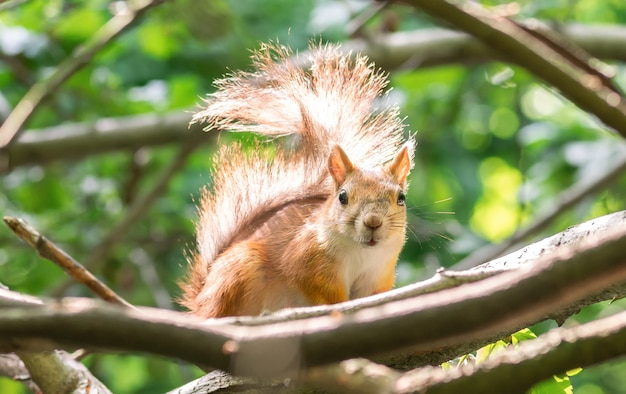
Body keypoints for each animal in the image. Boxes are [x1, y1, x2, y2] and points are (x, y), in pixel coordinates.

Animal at [179, 43, 414, 318]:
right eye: (342, 197)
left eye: (401, 198)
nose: (373, 222)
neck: (360, 253)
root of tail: (201, 302)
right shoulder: (306, 259)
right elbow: (318, 289)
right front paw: (337, 311)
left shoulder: (377, 275)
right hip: (239, 269)